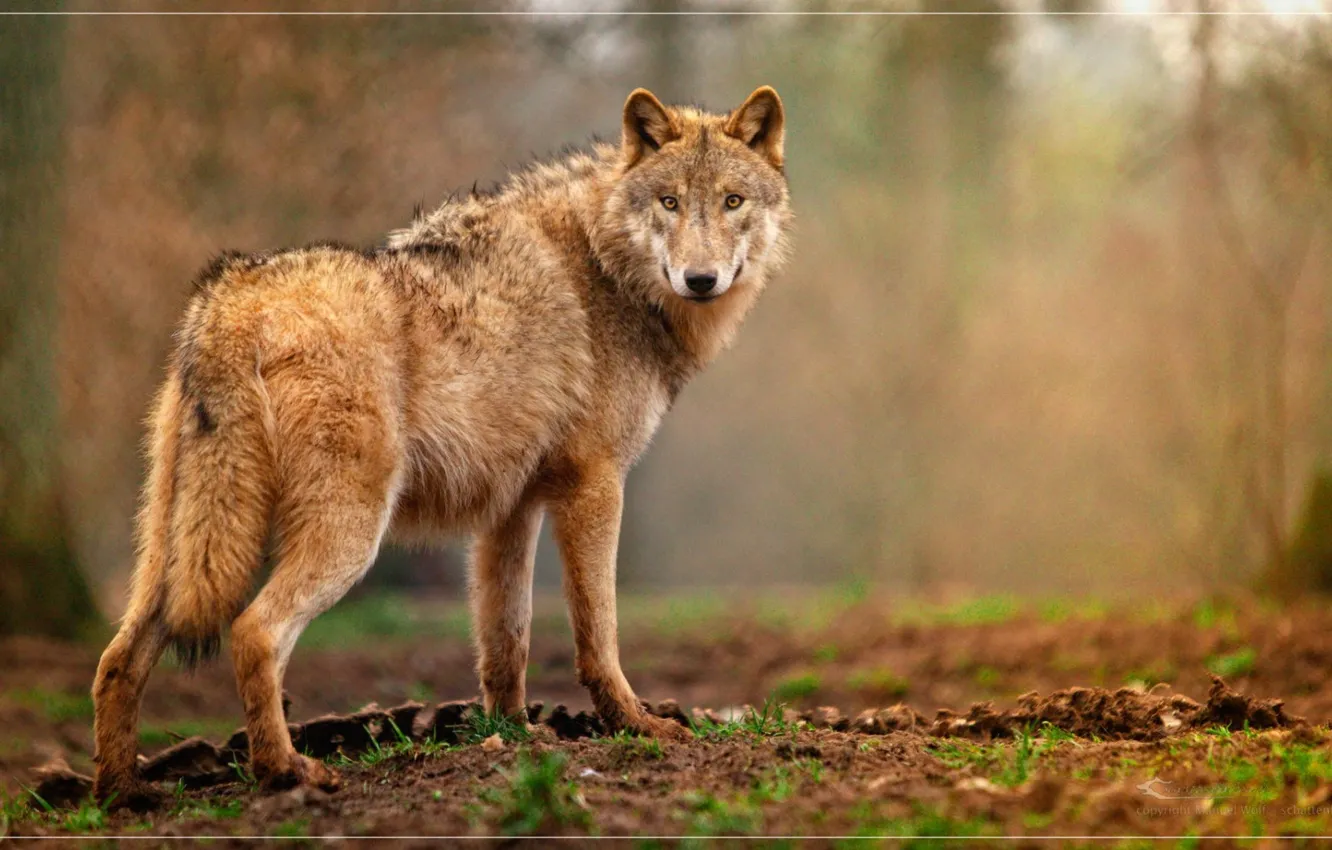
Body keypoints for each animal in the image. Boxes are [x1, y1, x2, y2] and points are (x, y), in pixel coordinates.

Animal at [91, 86, 792, 806]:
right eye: (669, 202)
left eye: (732, 201)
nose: (701, 279)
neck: (606, 267)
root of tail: (235, 300)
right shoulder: (596, 486)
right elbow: (599, 633)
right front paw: (636, 725)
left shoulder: (511, 510)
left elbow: (506, 642)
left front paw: (514, 735)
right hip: (346, 538)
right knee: (255, 633)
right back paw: (286, 772)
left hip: (176, 553)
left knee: (118, 656)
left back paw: (122, 791)